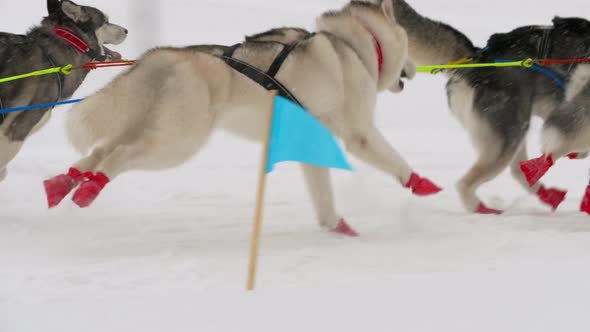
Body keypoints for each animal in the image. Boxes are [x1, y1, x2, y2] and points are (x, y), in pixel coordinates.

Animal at [45, 1, 444, 236]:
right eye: (407, 44)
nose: (413, 69)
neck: (353, 47)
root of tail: (161, 56)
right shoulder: (359, 132)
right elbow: (392, 159)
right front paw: (422, 183)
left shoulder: (311, 140)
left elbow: (322, 191)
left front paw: (336, 224)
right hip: (177, 141)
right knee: (117, 156)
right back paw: (88, 189)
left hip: (153, 127)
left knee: (99, 151)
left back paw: (64, 184)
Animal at [376, 0, 590, 214]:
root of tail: (478, 59)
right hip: (507, 137)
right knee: (466, 182)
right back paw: (482, 209)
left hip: (516, 129)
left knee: (519, 169)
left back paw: (549, 195)